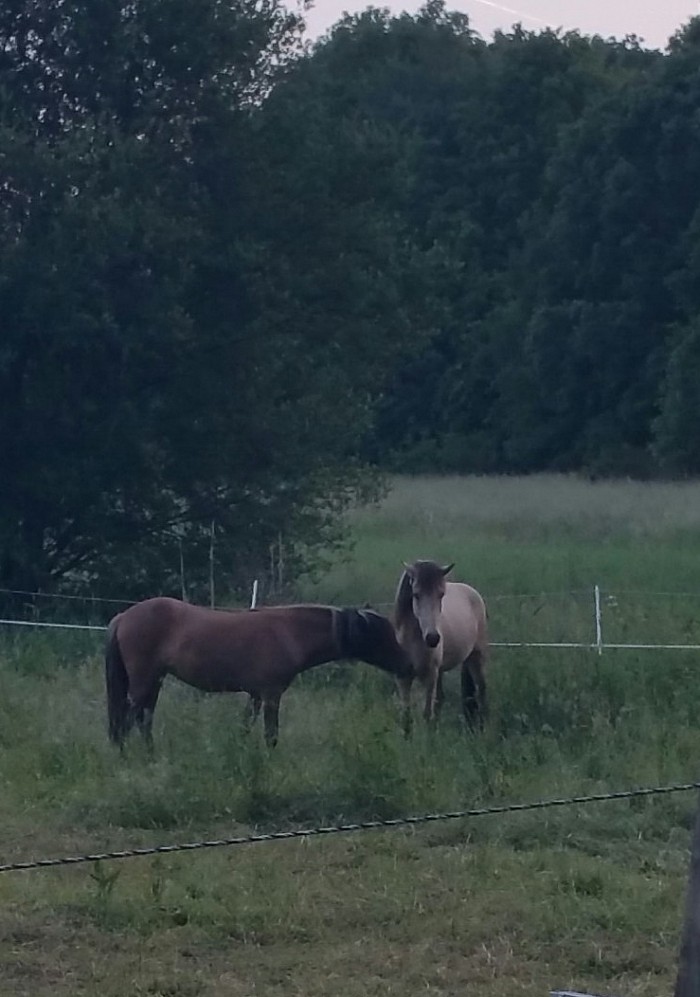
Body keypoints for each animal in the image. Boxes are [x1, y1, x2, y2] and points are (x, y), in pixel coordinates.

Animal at [104, 592, 410, 748]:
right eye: (382, 634)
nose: (407, 664)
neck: (289, 632)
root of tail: (123, 617)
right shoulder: (271, 694)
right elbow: (270, 734)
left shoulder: (255, 694)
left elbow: (246, 728)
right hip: (144, 682)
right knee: (127, 720)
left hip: (154, 682)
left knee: (143, 720)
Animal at [394, 560, 486, 732]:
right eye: (416, 594)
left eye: (441, 595)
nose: (433, 638)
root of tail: (471, 591)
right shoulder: (403, 678)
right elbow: (406, 716)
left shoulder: (430, 676)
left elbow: (426, 714)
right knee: (441, 699)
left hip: (476, 657)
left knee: (481, 691)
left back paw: (483, 730)